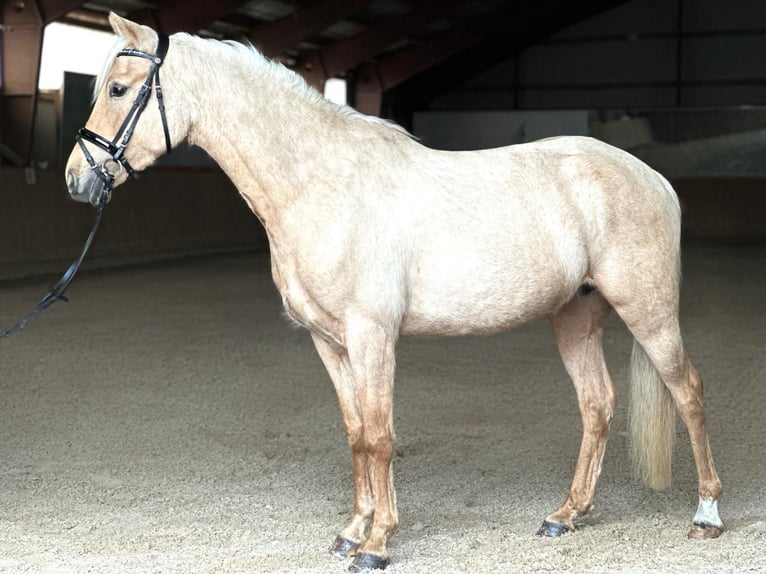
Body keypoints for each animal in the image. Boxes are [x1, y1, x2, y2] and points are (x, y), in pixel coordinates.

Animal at [66, 12, 728, 572]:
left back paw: (707, 515)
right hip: (574, 315)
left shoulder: (372, 335)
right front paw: (352, 531)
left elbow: (381, 437)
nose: (77, 180)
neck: (321, 184)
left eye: (118, 90)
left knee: (688, 392)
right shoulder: (329, 342)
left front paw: (379, 544)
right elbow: (356, 433)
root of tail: (652, 177)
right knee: (597, 406)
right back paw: (566, 515)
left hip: (649, 311)